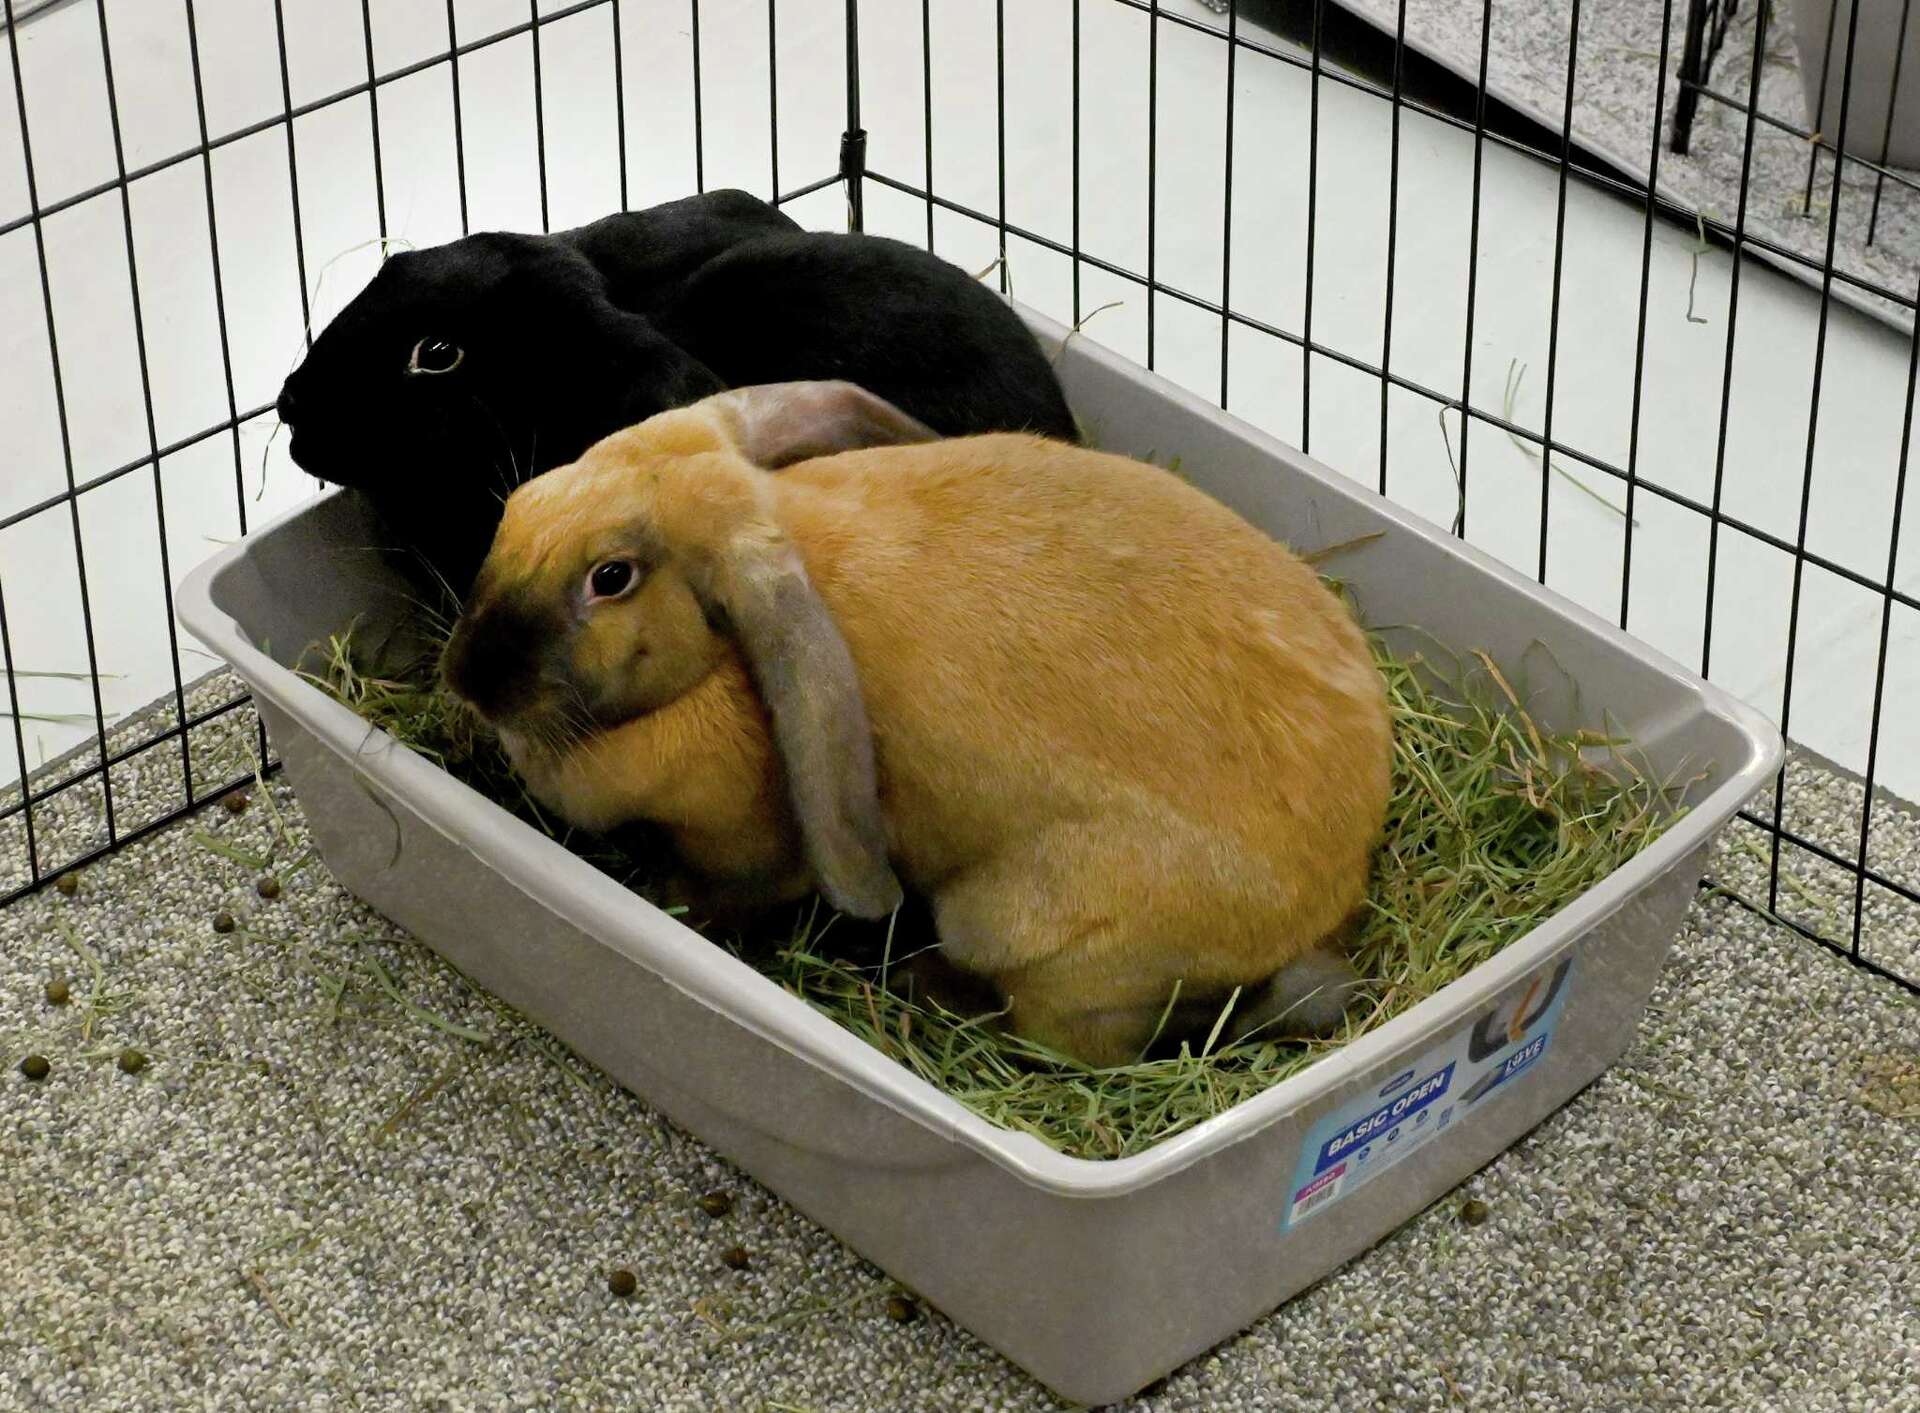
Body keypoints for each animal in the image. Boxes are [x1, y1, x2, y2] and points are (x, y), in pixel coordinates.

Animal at [439, 382, 1392, 1068]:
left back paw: (933, 989)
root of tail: (1335, 895)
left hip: (1022, 933)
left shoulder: (748, 850)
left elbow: (722, 887)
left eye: (611, 577)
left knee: (1093, 1045)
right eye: (520, 501)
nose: (466, 677)